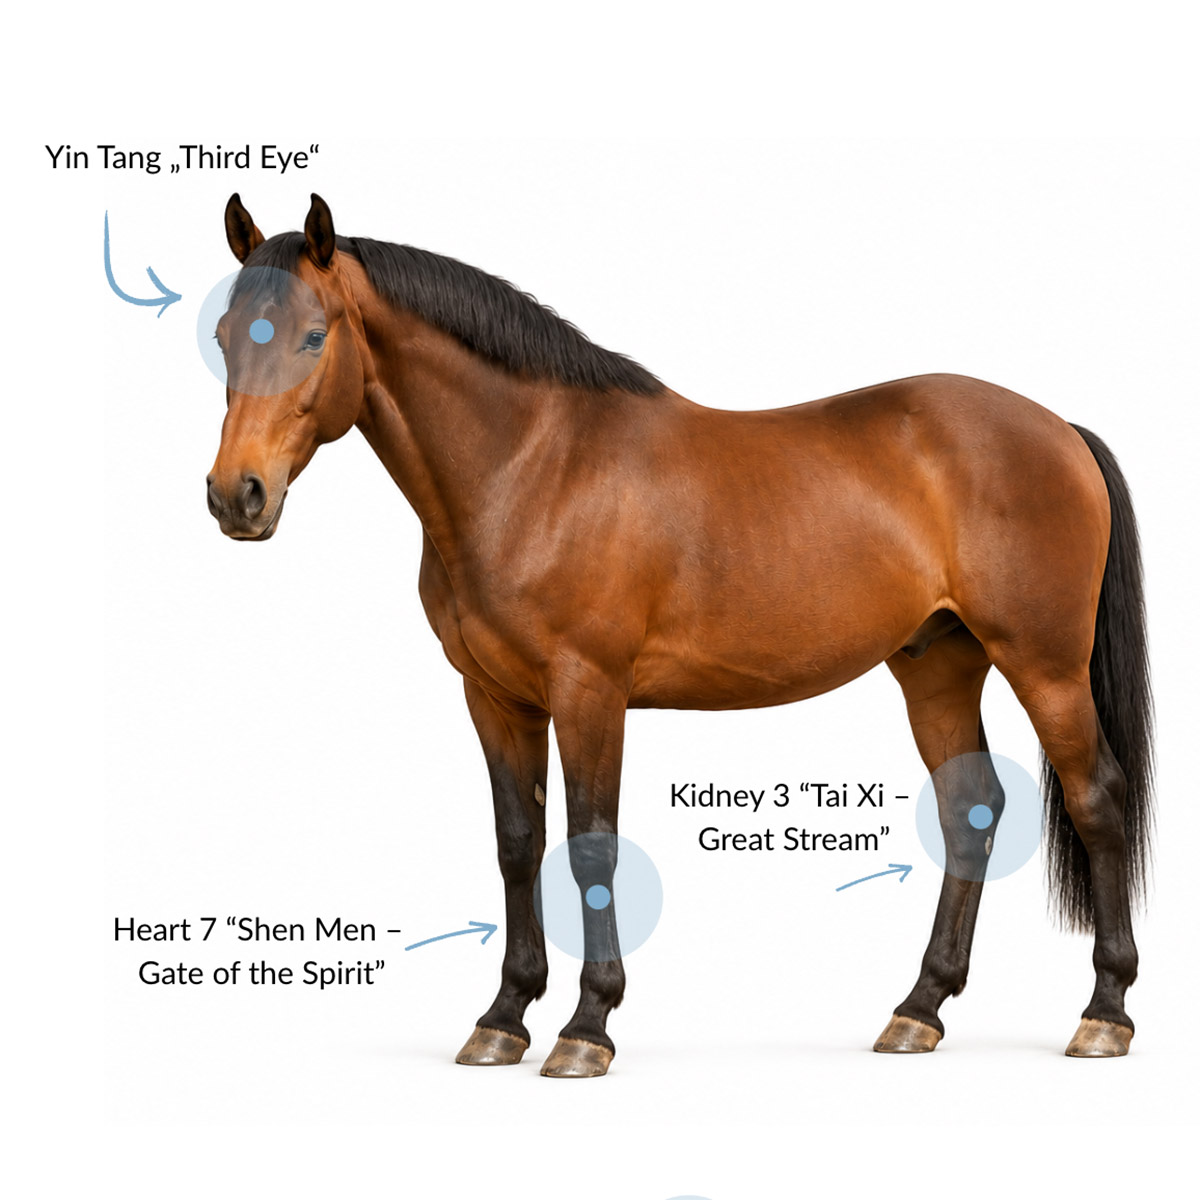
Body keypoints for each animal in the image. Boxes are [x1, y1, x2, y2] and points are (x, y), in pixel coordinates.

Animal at [206, 193, 1152, 1076]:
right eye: (221, 336)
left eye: (313, 336)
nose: (235, 496)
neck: (533, 466)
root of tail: (1060, 429)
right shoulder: (495, 697)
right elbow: (519, 845)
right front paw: (503, 1017)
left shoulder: (589, 690)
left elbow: (590, 848)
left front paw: (587, 1027)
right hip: (937, 666)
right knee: (970, 812)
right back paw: (918, 1009)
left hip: (1045, 665)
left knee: (1097, 799)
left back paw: (1103, 1013)